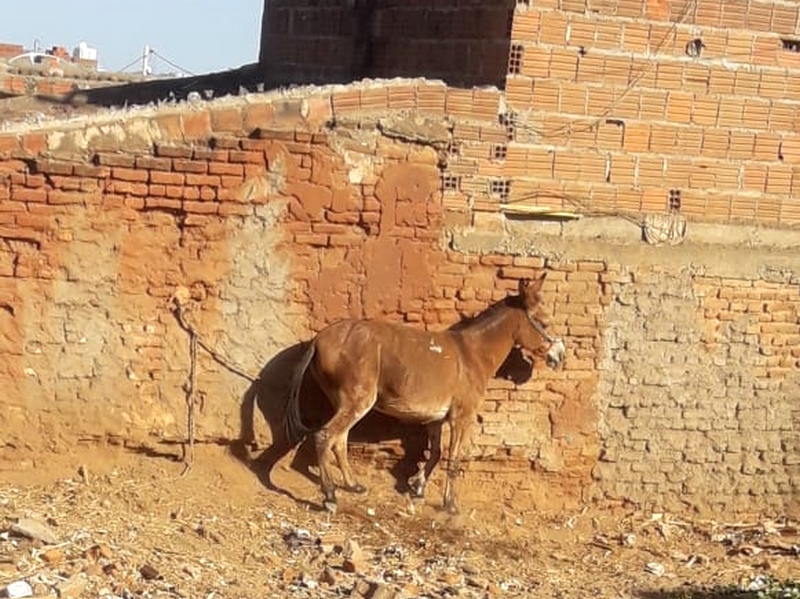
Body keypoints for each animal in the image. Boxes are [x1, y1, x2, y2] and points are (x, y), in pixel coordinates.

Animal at [284, 274, 564, 512]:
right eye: (545, 322)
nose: (560, 357)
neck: (472, 354)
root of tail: (319, 338)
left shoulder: (435, 419)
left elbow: (436, 454)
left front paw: (417, 486)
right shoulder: (461, 418)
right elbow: (453, 458)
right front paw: (450, 505)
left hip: (345, 403)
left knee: (339, 440)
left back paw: (353, 485)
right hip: (357, 401)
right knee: (324, 436)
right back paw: (330, 495)